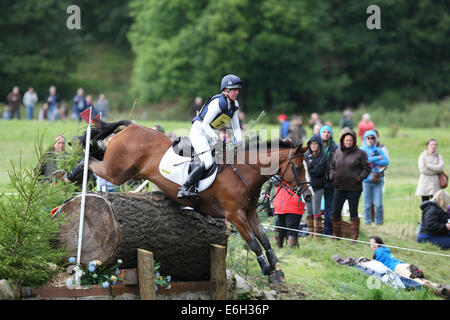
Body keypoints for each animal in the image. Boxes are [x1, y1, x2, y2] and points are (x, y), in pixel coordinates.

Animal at [61, 119, 312, 284]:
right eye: (299, 167)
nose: (309, 196)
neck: (244, 172)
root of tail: (132, 126)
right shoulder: (235, 215)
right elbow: (253, 243)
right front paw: (269, 273)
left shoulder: (249, 213)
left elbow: (265, 241)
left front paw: (276, 270)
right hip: (116, 172)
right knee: (92, 159)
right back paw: (70, 174)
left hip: (120, 170)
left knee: (96, 154)